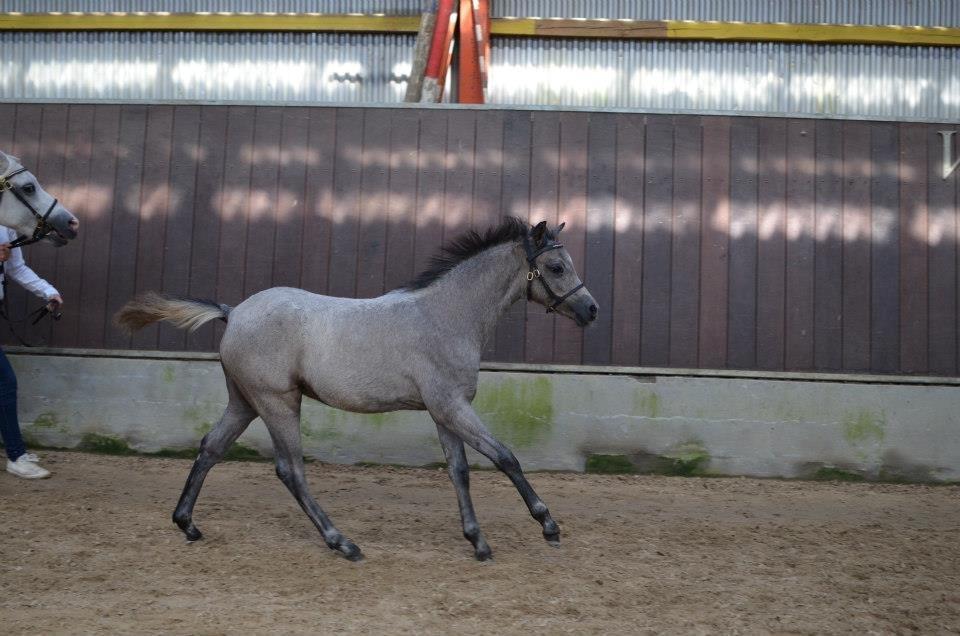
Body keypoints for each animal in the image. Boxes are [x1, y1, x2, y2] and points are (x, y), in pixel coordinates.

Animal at [116, 218, 598, 561]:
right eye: (556, 267)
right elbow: (505, 457)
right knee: (290, 470)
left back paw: (187, 524)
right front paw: (548, 527)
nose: (591, 310)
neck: (445, 315)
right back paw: (342, 543)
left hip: (244, 402)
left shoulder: (444, 411)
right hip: (277, 403)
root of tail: (233, 312)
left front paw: (478, 542)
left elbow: (458, 471)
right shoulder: (451, 406)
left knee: (211, 448)